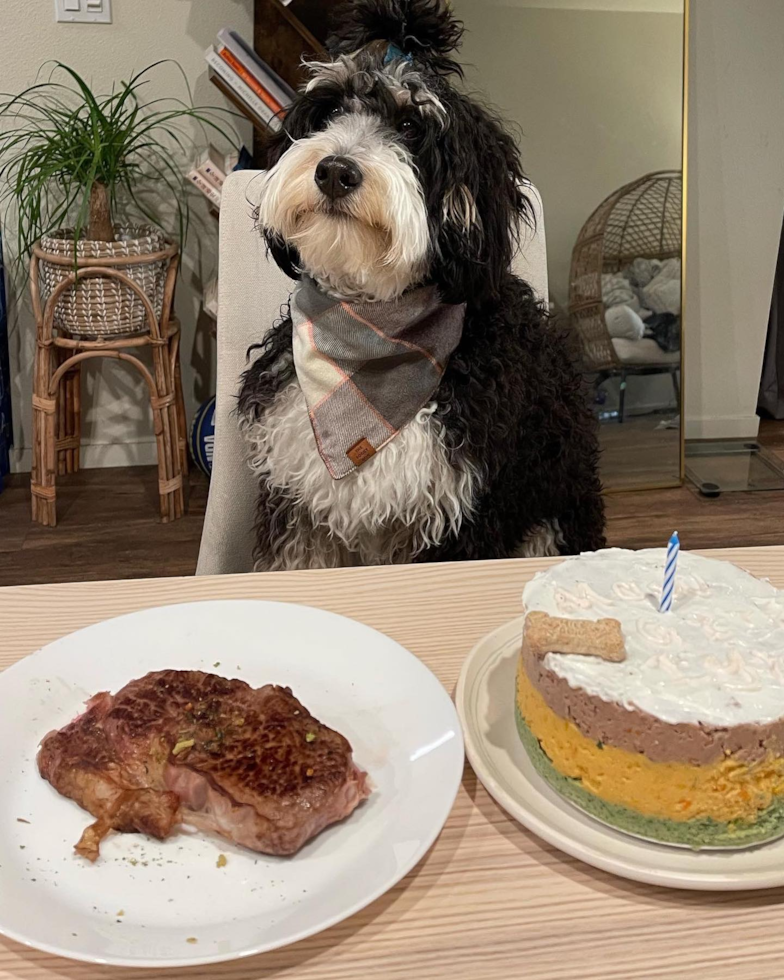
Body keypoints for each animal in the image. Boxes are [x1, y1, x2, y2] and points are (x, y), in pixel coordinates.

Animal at [236, 0, 604, 572]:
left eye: (410, 125)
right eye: (329, 110)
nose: (335, 171)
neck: (370, 328)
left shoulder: (464, 517)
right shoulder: (299, 509)